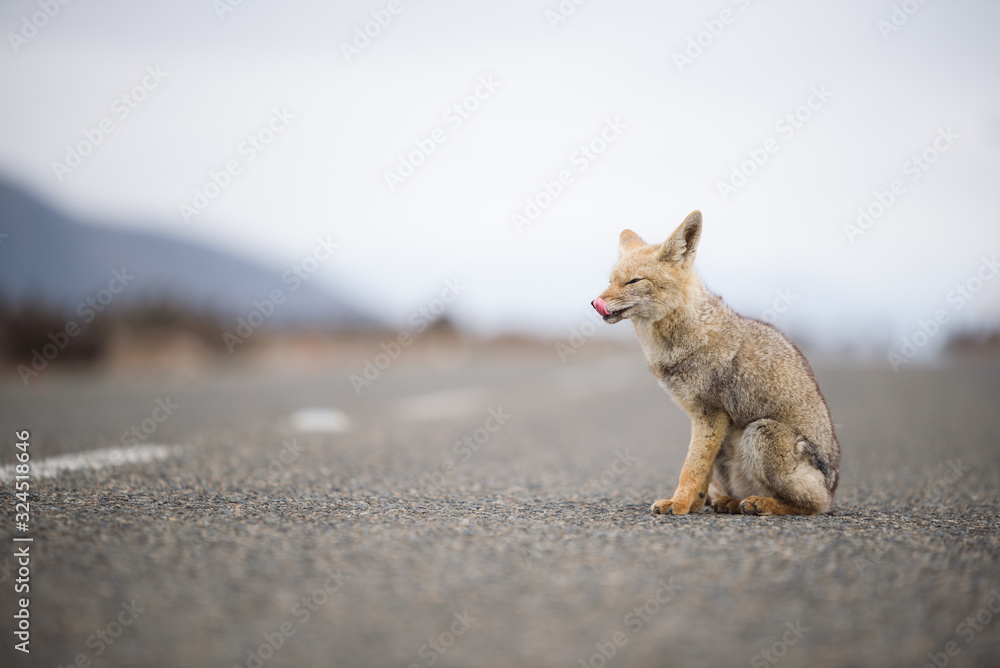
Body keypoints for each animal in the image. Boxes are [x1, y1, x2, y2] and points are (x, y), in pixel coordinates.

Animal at [592, 210, 840, 516]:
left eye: (633, 281)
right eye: (610, 281)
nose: (595, 302)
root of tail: (832, 487)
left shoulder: (711, 413)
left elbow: (691, 468)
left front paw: (679, 504)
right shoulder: (703, 417)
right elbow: (701, 469)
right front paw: (693, 504)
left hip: (761, 431)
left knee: (812, 505)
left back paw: (763, 503)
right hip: (730, 446)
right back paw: (730, 501)